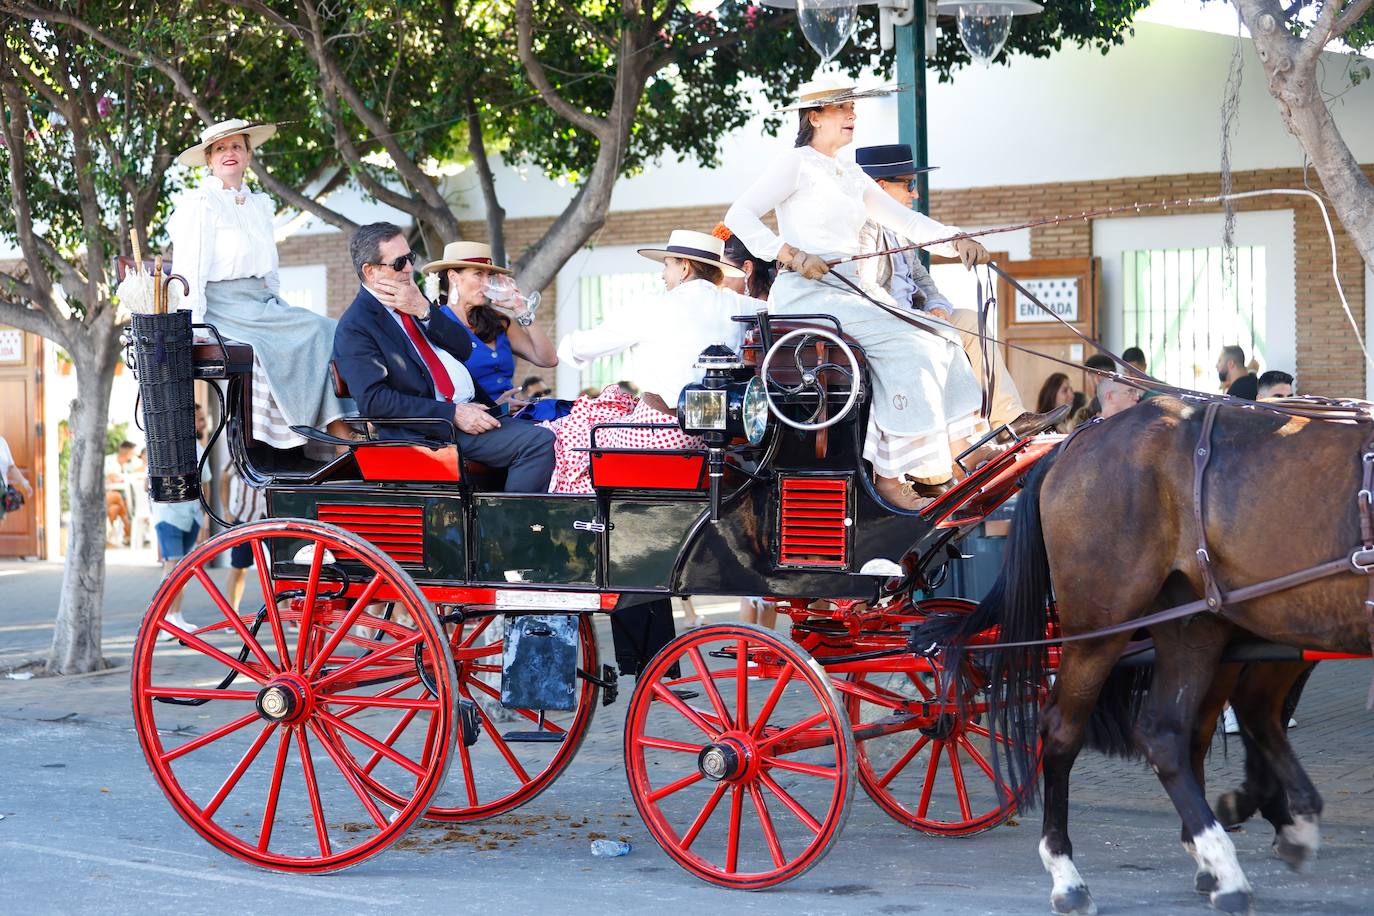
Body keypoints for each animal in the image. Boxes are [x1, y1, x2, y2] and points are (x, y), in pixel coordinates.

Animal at [912, 398, 1374, 916]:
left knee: (1173, 731)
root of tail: (1077, 439)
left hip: (1205, 624)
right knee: (1063, 731)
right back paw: (1070, 874)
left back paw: (1226, 857)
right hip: (1099, 627)